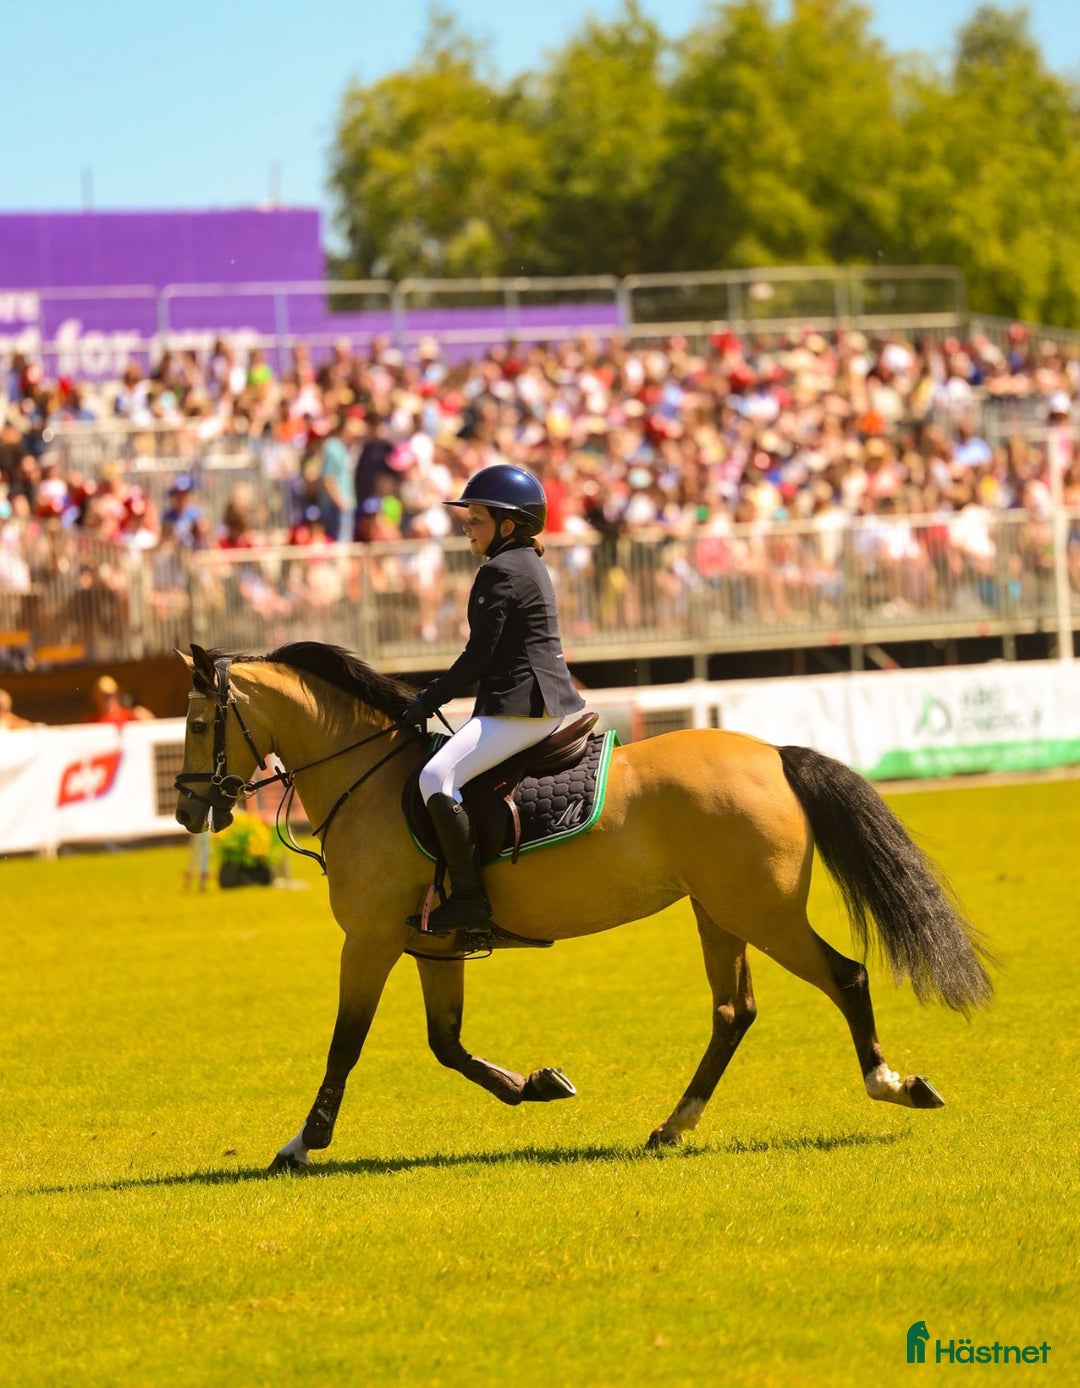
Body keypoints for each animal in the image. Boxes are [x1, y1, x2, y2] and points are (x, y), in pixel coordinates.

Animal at [174, 641, 993, 1173]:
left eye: (197, 722)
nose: (188, 811)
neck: (368, 780)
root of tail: (772, 754)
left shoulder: (371, 940)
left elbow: (346, 1044)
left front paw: (300, 1144)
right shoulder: (431, 945)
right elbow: (447, 1044)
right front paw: (536, 1085)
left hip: (765, 913)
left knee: (845, 977)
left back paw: (894, 1085)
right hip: (720, 913)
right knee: (734, 1012)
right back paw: (672, 1127)